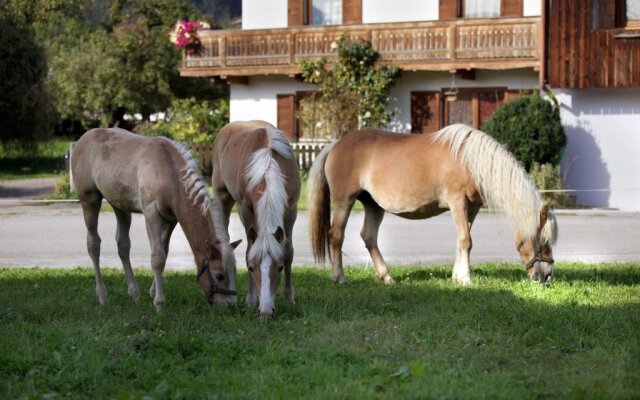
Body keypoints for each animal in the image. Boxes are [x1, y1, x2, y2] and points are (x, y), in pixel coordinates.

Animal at [70, 128, 240, 312]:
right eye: (219, 275)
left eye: (235, 271)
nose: (231, 304)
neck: (168, 170)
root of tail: (83, 139)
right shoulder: (151, 214)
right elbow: (157, 257)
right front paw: (159, 303)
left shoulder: (171, 219)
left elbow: (164, 251)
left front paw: (152, 292)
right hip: (90, 200)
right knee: (93, 244)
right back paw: (102, 296)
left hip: (120, 206)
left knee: (123, 245)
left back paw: (134, 294)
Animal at [211, 120, 298, 318]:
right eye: (251, 267)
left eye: (280, 268)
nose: (266, 311)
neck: (268, 166)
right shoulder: (245, 208)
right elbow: (248, 250)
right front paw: (251, 300)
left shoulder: (291, 208)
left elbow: (288, 251)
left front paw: (289, 298)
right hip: (222, 197)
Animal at [308, 123, 556, 286]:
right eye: (542, 240)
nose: (547, 276)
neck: (471, 160)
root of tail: (335, 144)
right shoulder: (458, 202)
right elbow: (466, 241)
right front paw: (466, 279)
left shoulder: (471, 208)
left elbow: (461, 240)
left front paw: (457, 276)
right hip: (344, 201)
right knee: (336, 235)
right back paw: (339, 277)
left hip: (374, 205)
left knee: (369, 237)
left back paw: (386, 277)